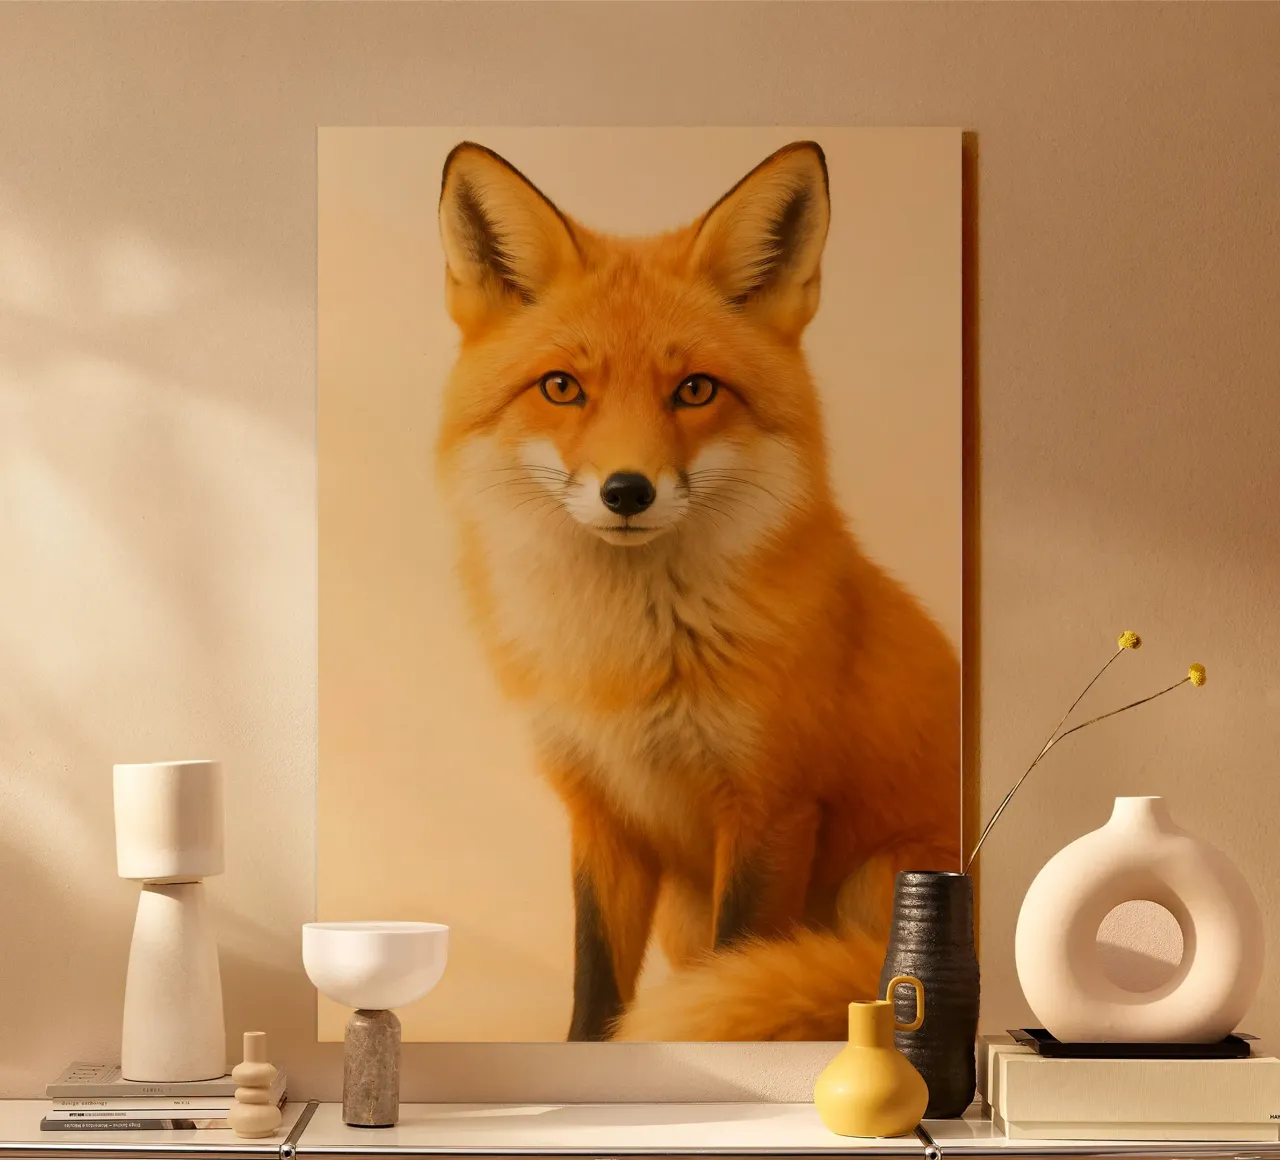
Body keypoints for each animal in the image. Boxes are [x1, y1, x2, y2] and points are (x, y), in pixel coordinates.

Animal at [433, 139, 960, 1042]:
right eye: (563, 387)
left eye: (696, 390)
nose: (627, 491)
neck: (626, 656)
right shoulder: (600, 814)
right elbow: (596, 984)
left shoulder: (770, 807)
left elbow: (737, 965)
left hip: (884, 883)